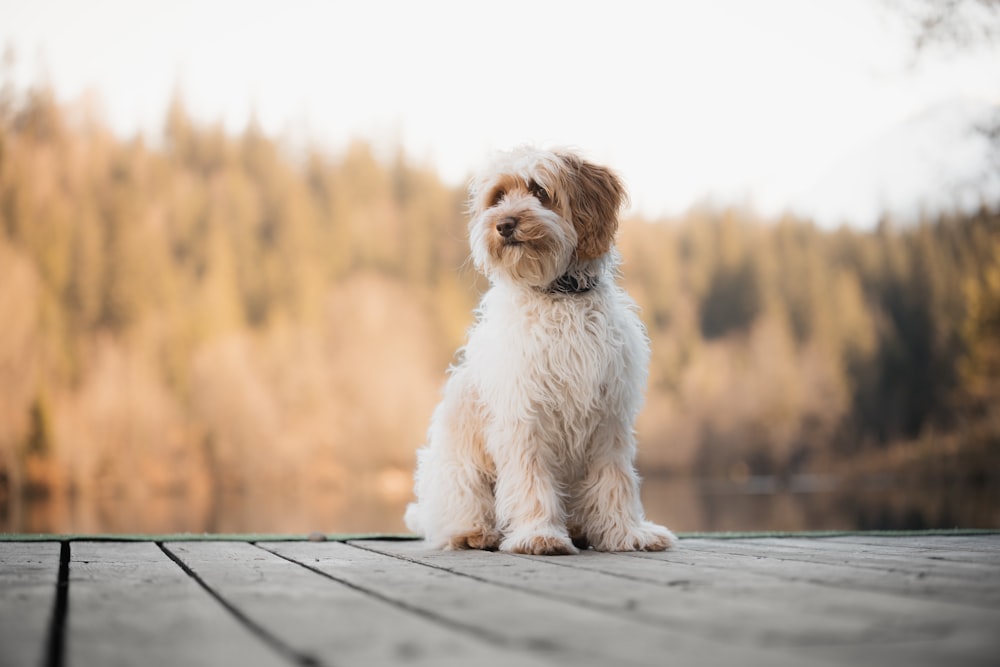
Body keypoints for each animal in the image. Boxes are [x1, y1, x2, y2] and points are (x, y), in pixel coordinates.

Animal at [402, 149, 676, 556]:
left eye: (540, 191)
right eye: (498, 197)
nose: (504, 224)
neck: (558, 297)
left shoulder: (609, 416)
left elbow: (615, 479)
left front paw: (626, 533)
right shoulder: (523, 412)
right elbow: (530, 478)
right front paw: (539, 535)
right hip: (457, 472)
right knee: (456, 515)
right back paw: (476, 533)